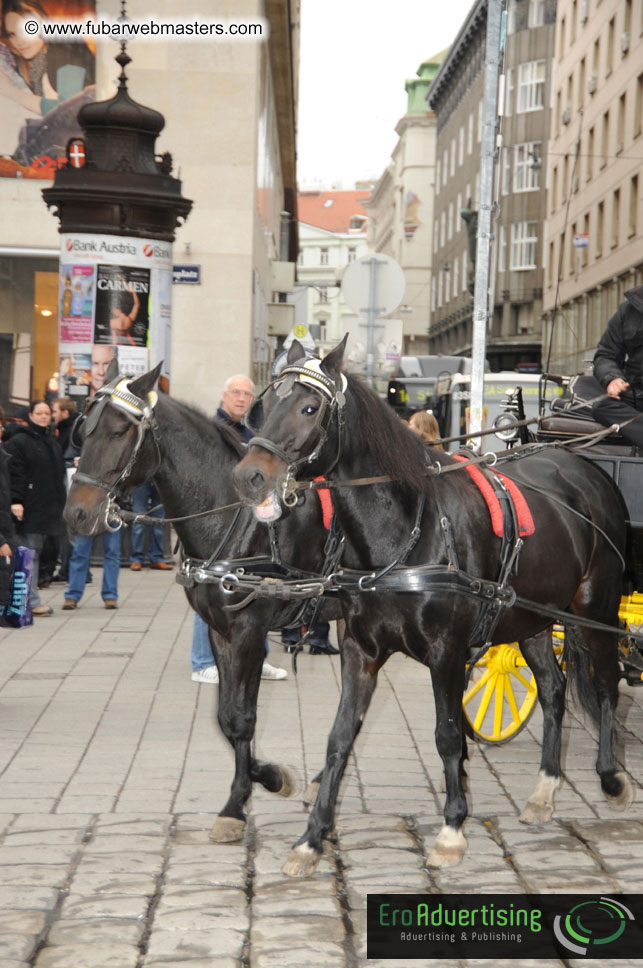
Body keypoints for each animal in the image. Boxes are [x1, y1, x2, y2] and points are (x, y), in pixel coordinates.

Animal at [65, 364, 342, 840]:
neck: (231, 515)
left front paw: (239, 802)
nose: (75, 514)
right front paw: (265, 780)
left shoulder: (248, 631)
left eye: (119, 431)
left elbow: (243, 718)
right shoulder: (218, 629)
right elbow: (226, 718)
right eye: (83, 432)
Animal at [235, 342, 632, 876]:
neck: (406, 530)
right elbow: (340, 737)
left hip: (595, 609)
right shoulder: (360, 652)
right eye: (262, 407)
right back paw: (545, 791)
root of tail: (582, 468)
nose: (248, 476)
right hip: (532, 618)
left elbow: (448, 735)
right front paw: (311, 839)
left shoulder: (447, 652)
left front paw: (451, 830)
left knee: (606, 683)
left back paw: (610, 777)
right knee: (553, 690)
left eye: (310, 407)